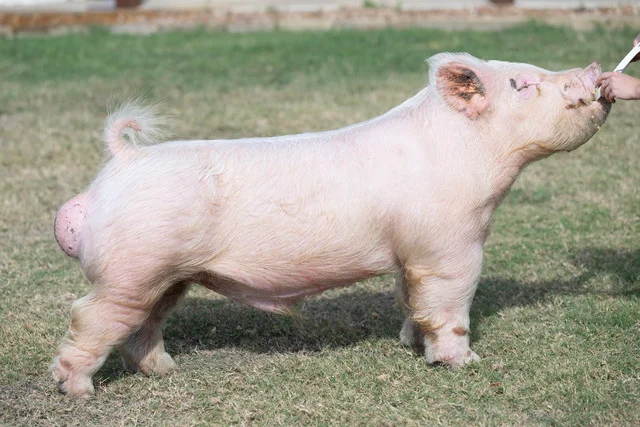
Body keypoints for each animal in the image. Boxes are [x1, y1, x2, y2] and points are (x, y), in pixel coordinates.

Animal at [51, 52, 610, 398]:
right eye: (524, 84)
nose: (594, 70)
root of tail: (124, 160)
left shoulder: (410, 253)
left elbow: (411, 298)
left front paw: (411, 344)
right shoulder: (450, 244)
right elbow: (450, 303)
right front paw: (463, 363)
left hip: (165, 275)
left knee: (143, 325)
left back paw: (167, 371)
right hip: (131, 268)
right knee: (88, 316)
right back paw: (76, 390)